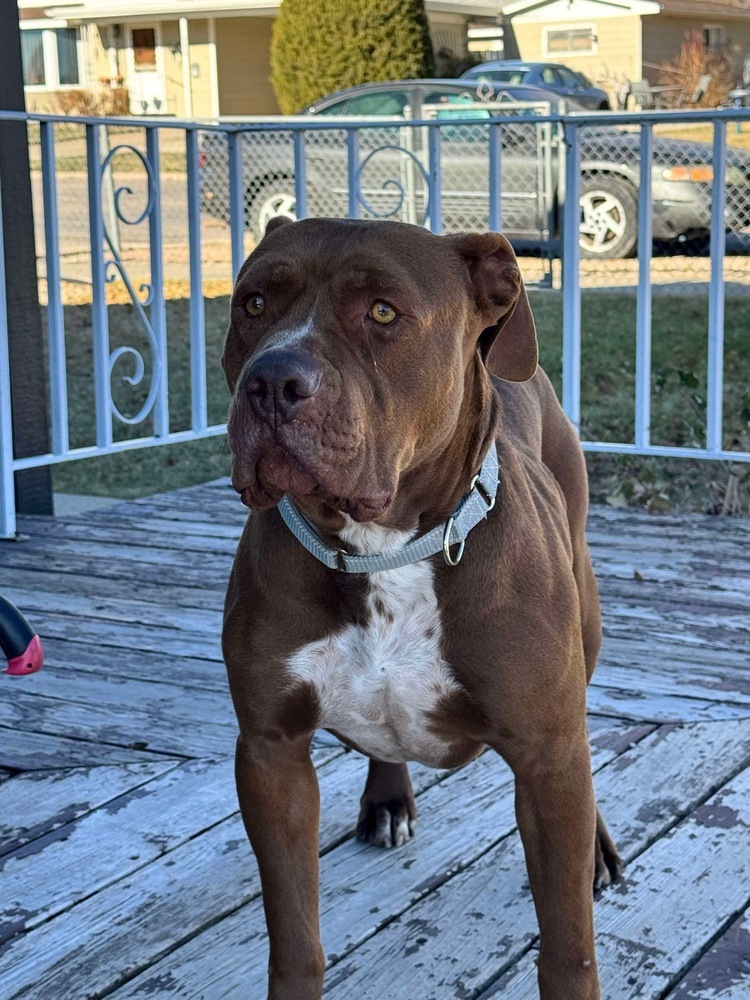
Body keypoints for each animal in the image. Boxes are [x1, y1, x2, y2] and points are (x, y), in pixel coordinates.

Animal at [222, 219, 624, 1000]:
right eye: (253, 302)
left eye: (383, 312)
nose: (272, 381)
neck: (382, 550)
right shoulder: (270, 752)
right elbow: (294, 935)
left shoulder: (547, 753)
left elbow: (569, 946)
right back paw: (386, 796)